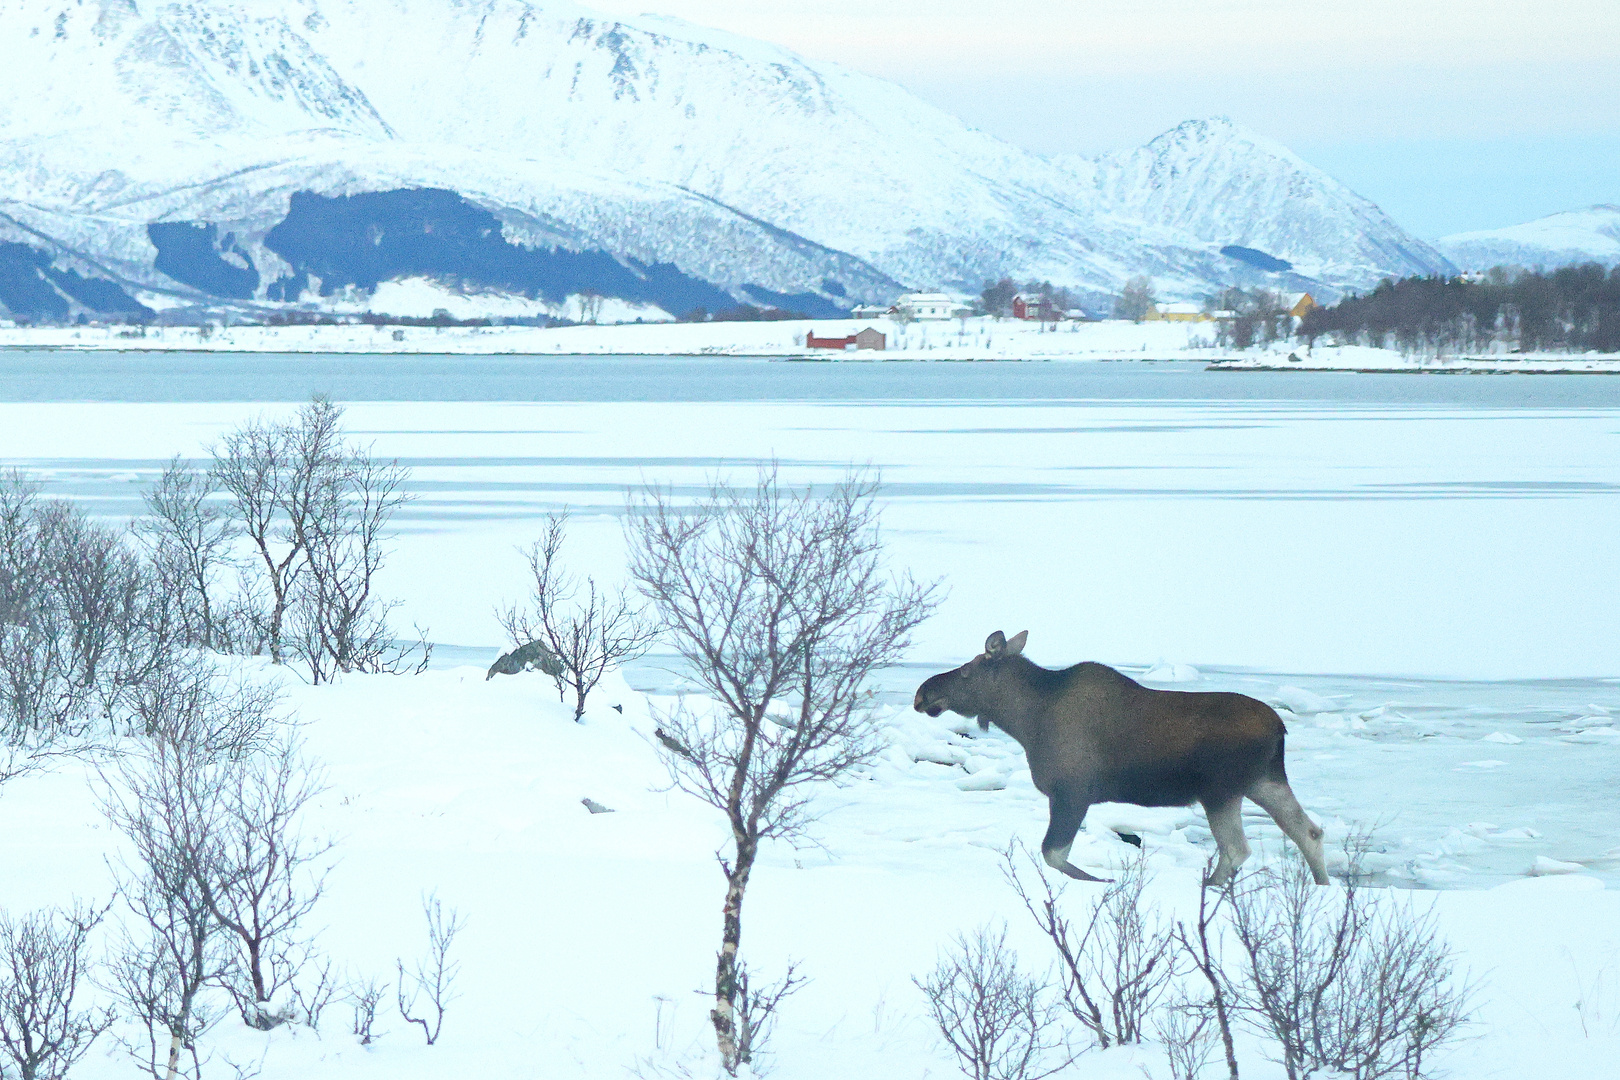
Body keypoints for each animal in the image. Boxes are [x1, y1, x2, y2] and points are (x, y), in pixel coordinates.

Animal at [913, 634, 1328, 887]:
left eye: (967, 671)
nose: (922, 693)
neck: (1026, 720)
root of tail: (1280, 729)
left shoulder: (1072, 791)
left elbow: (1054, 853)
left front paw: (1103, 881)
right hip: (1263, 782)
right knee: (1308, 831)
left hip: (1220, 791)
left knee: (1237, 848)